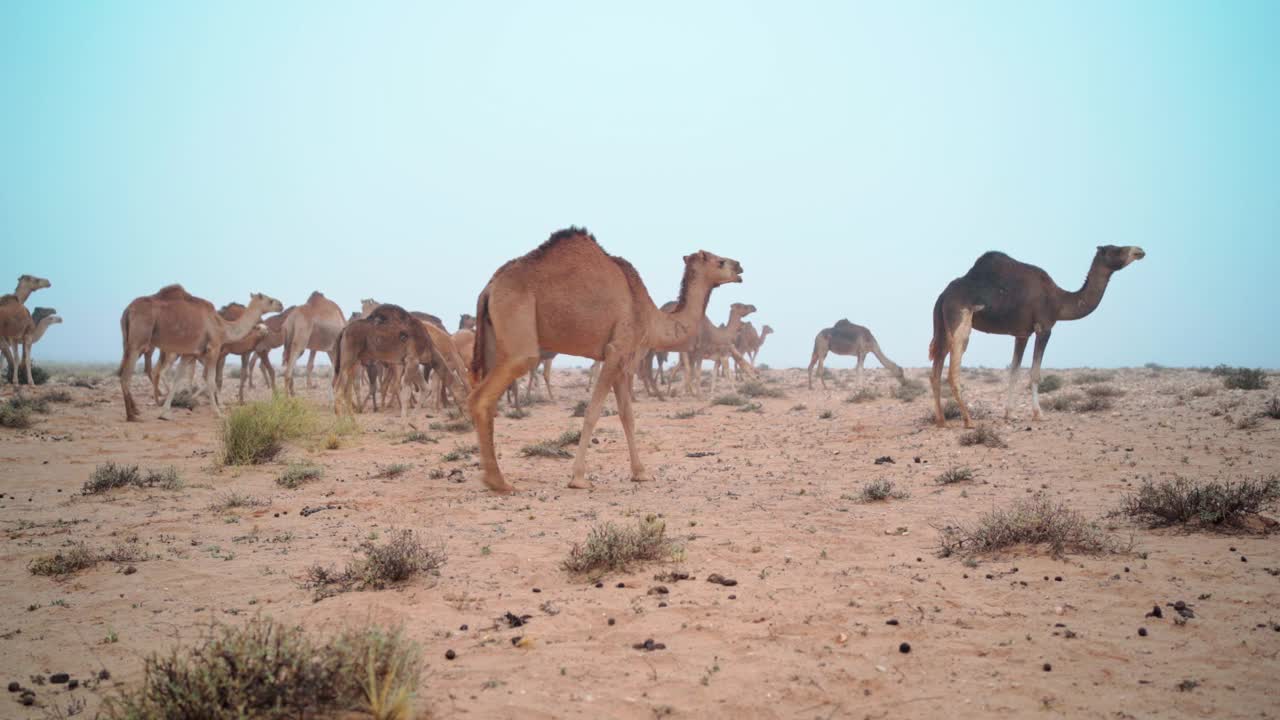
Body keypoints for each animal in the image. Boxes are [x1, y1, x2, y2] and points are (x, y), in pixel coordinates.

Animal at [118, 285, 282, 420]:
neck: (222, 327)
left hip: (128, 343)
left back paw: (139, 409)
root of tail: (128, 310)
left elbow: (178, 379)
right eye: (270, 300)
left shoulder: (189, 353)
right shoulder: (214, 349)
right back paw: (132, 415)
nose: (281, 304)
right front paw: (218, 412)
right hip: (138, 343)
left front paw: (166, 412)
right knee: (128, 375)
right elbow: (211, 380)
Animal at [473, 226, 747, 489]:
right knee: (482, 396)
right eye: (720, 261)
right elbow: (593, 412)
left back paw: (492, 476)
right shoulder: (617, 350)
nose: (740, 267)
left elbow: (627, 415)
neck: (650, 316)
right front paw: (578, 478)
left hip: (493, 340)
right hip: (518, 329)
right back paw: (498, 482)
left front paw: (640, 473)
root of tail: (489, 288)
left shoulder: (621, 362)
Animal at [931, 245, 1152, 425]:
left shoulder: (1021, 334)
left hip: (941, 325)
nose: (1139, 251)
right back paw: (968, 420)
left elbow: (1014, 372)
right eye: (1116, 249)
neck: (1059, 301)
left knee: (936, 371)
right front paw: (1039, 414)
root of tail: (942, 296)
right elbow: (1035, 374)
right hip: (960, 320)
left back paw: (942, 421)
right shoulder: (1044, 327)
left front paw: (1009, 413)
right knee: (952, 371)